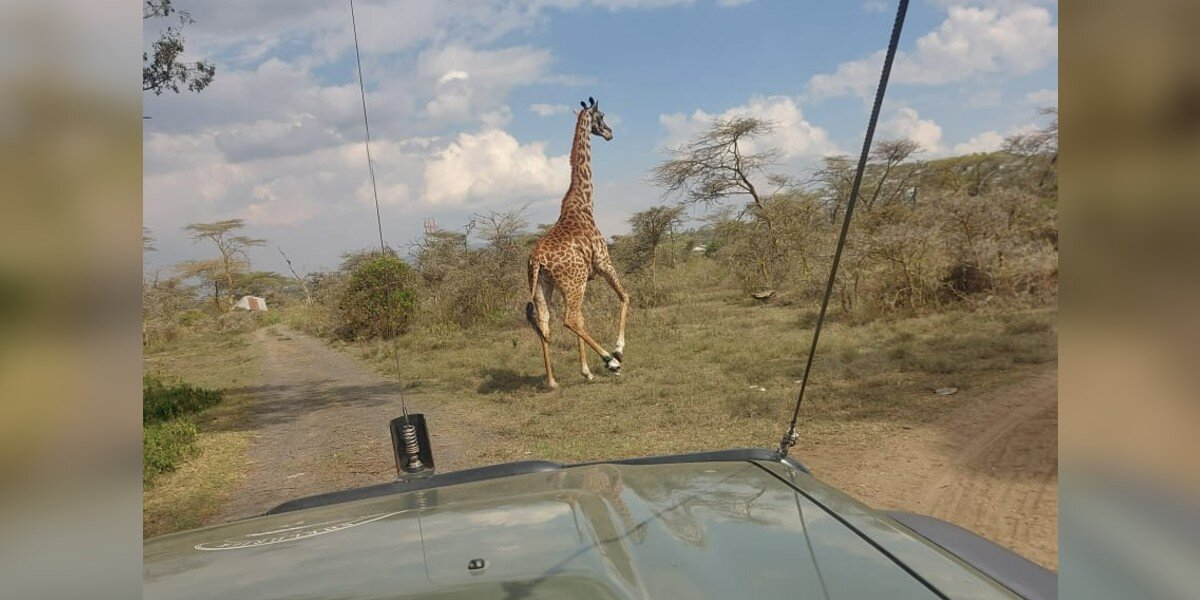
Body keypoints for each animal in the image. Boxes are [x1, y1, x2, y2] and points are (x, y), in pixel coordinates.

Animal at [525, 97, 628, 390]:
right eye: (601, 116)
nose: (610, 133)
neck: (583, 202)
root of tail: (536, 260)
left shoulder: (585, 277)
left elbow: (584, 317)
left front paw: (585, 371)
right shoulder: (604, 262)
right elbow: (624, 296)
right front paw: (618, 350)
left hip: (544, 286)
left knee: (546, 322)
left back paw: (551, 381)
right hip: (572, 282)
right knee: (569, 319)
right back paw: (610, 362)